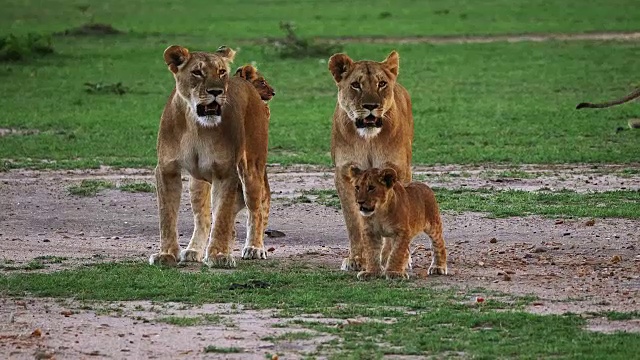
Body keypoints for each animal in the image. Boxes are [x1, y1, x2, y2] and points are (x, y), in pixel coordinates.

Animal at [150, 45, 270, 268]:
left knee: (256, 209)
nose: (216, 92)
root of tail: (247, 83)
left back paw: (254, 248)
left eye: (221, 72)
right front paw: (166, 254)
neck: (196, 126)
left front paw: (219, 256)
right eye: (197, 72)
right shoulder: (166, 169)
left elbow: (222, 215)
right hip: (197, 183)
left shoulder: (225, 171)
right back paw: (193, 250)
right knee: (203, 218)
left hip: (252, 170)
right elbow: (167, 215)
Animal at [328, 50, 412, 270]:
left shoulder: (397, 172)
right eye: (356, 85)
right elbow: (353, 222)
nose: (371, 106)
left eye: (381, 84)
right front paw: (356, 259)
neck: (368, 139)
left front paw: (390, 257)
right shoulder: (345, 174)